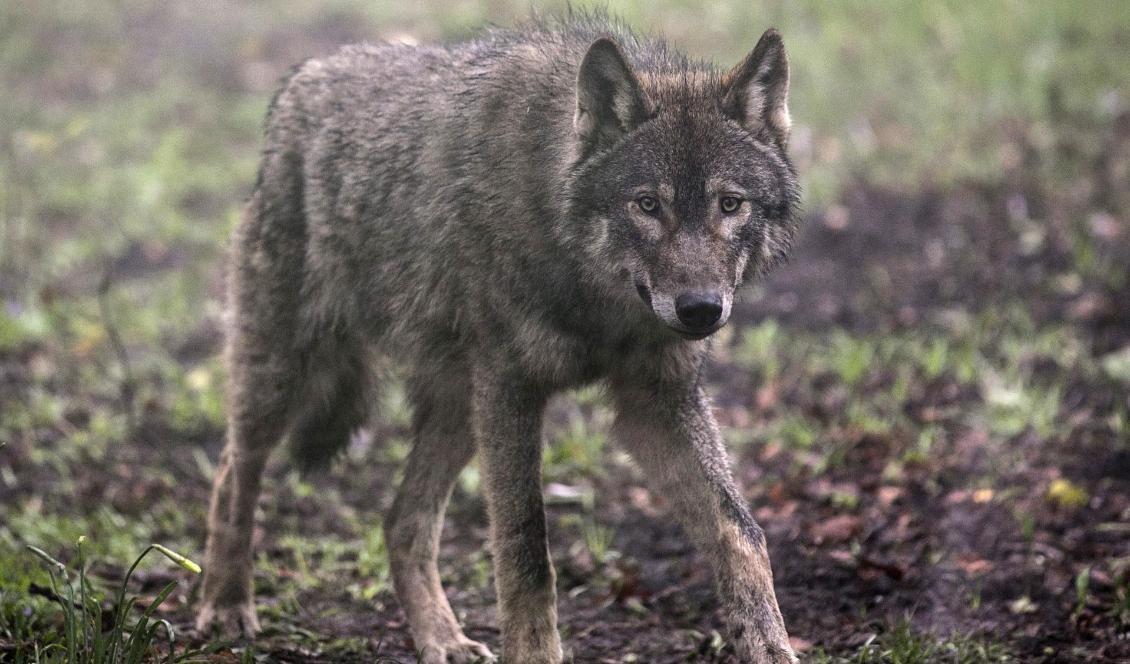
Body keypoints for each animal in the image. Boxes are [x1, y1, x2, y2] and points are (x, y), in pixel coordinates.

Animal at [201, 11, 804, 664]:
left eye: (730, 204)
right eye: (646, 204)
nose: (699, 310)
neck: (594, 299)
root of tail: (303, 74)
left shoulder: (655, 402)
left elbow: (741, 534)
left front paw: (771, 647)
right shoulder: (513, 391)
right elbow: (525, 553)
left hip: (460, 408)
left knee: (400, 521)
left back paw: (442, 638)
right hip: (287, 375)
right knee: (234, 471)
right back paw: (225, 606)